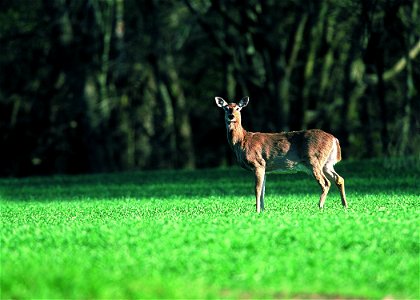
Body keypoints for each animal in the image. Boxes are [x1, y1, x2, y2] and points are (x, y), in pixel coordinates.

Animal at [215, 96, 346, 213]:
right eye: (226, 108)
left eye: (238, 108)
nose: (231, 116)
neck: (242, 141)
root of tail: (334, 139)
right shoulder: (265, 168)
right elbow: (263, 190)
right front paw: (263, 211)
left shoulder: (258, 163)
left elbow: (257, 189)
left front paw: (257, 211)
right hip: (326, 163)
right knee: (339, 178)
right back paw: (344, 205)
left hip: (314, 160)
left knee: (326, 183)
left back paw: (320, 206)